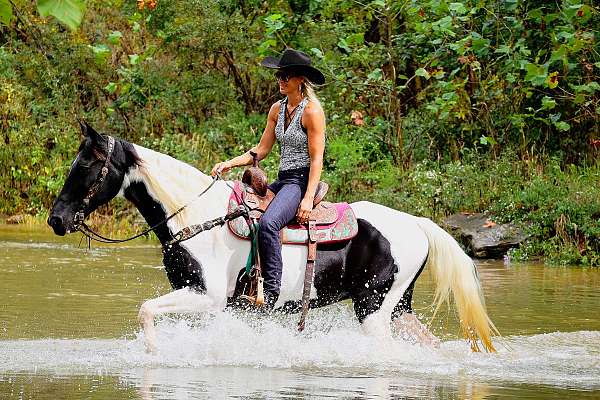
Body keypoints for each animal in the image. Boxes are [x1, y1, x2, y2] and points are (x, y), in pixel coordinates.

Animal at [48, 125, 496, 354]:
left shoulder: (206, 295)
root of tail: (417, 224)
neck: (197, 217)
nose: (56, 219)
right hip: (398, 307)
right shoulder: (216, 304)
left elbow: (145, 311)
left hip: (374, 309)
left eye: (86, 166)